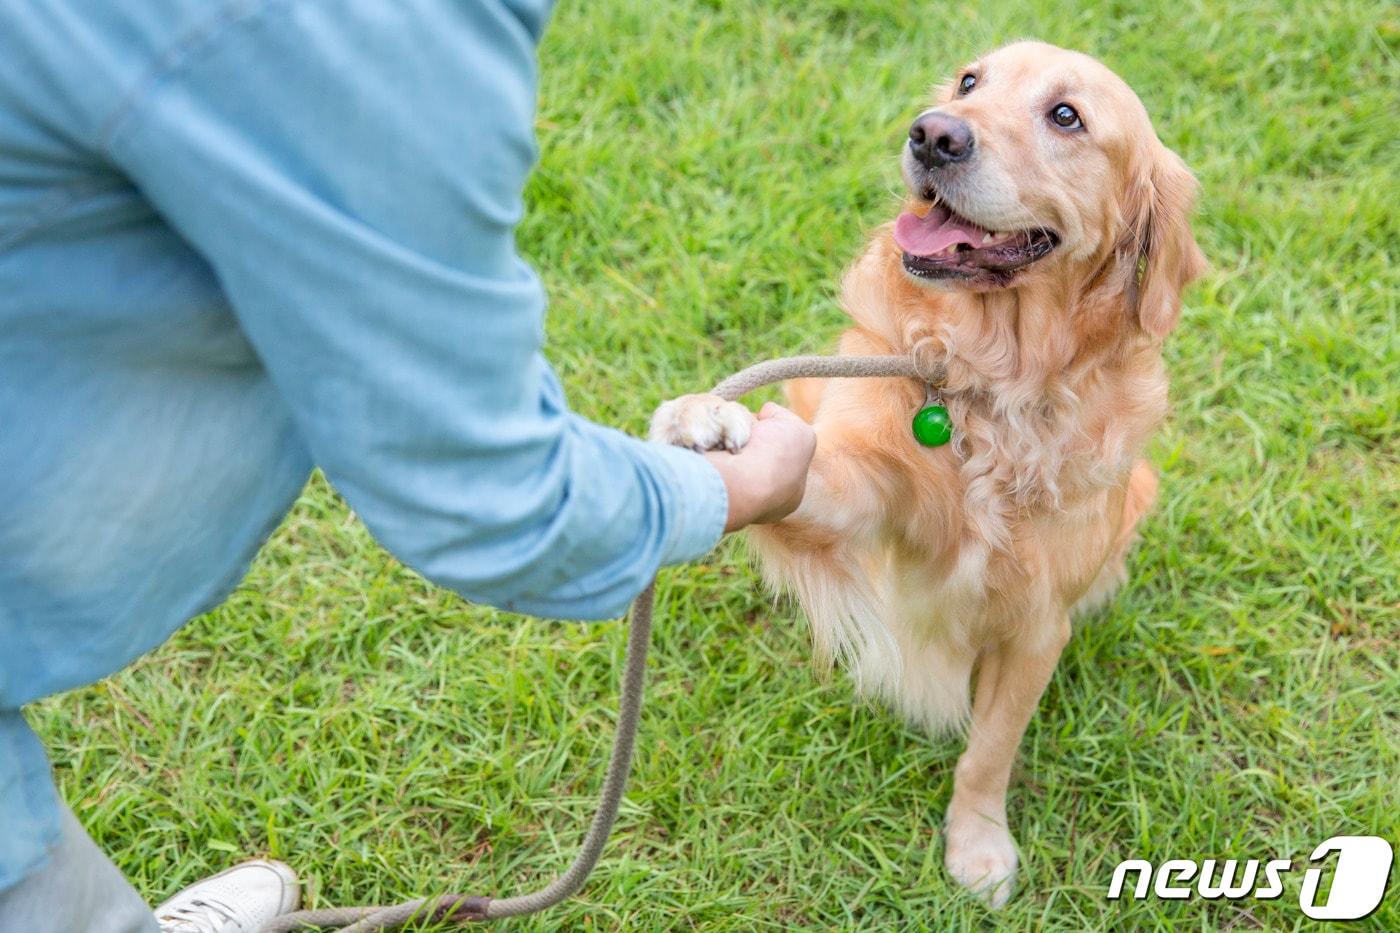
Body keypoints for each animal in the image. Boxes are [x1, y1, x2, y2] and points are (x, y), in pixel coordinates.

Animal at [649, 41, 1209, 902]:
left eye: (1066, 115)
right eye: (971, 82)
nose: (934, 135)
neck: (987, 384)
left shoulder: (1037, 625)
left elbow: (990, 749)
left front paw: (976, 844)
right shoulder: (867, 493)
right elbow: (809, 474)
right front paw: (706, 417)